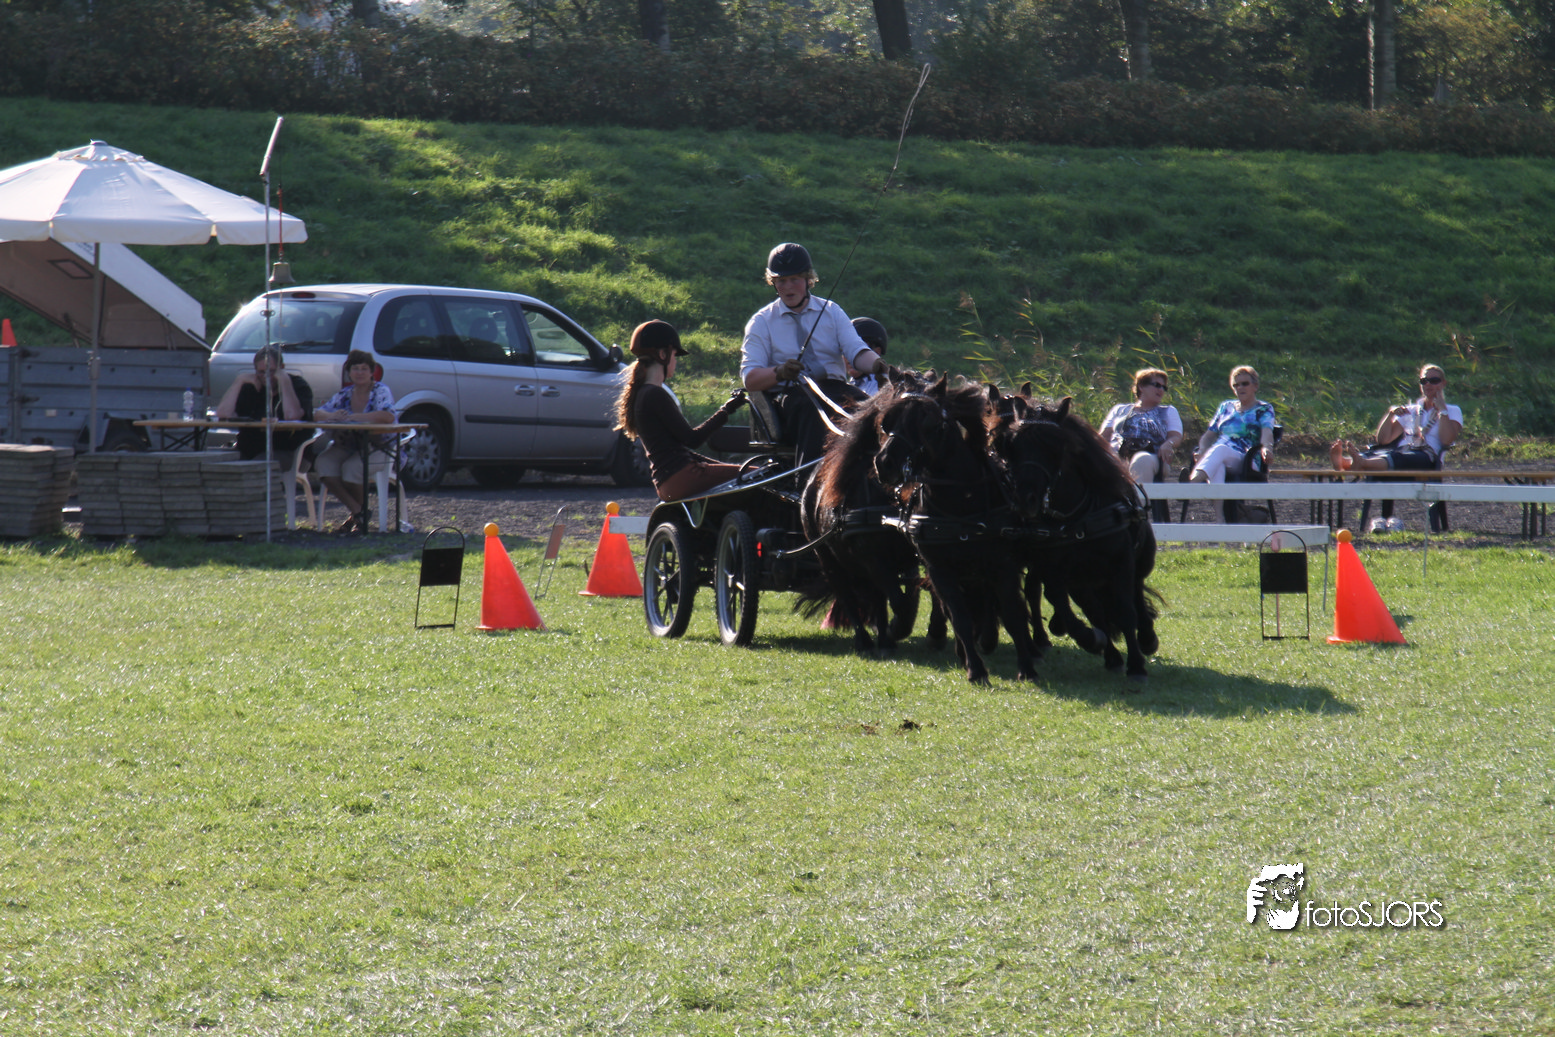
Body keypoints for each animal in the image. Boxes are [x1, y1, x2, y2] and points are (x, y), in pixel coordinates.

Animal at [871, 375, 1041, 686]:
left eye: (928, 421)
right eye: (888, 420)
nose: (885, 463)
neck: (961, 500)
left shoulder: (1003, 565)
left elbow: (1013, 611)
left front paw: (1026, 666)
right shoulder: (939, 569)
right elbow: (958, 616)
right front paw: (975, 668)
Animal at [995, 397, 1161, 684]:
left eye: (1054, 445)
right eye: (1012, 444)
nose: (1025, 499)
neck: (1077, 517)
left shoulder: (1122, 563)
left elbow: (1126, 610)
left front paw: (1137, 665)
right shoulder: (1055, 572)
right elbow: (1064, 606)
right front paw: (1091, 640)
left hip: (1137, 564)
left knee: (1136, 596)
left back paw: (1147, 637)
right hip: (1083, 583)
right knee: (1095, 612)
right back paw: (1111, 655)